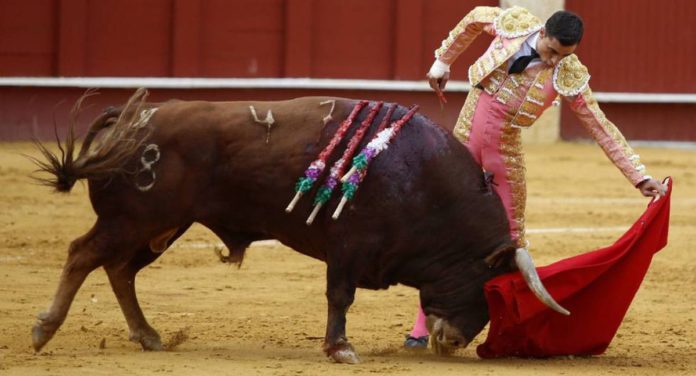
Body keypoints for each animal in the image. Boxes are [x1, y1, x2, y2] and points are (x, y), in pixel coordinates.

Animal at [31, 89, 564, 362]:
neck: (421, 178)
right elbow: (339, 296)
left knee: (120, 270)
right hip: (134, 219)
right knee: (83, 254)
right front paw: (340, 348)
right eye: (484, 287)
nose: (453, 342)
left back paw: (148, 335)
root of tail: (135, 113)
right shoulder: (349, 245)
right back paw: (43, 330)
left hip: (161, 226)